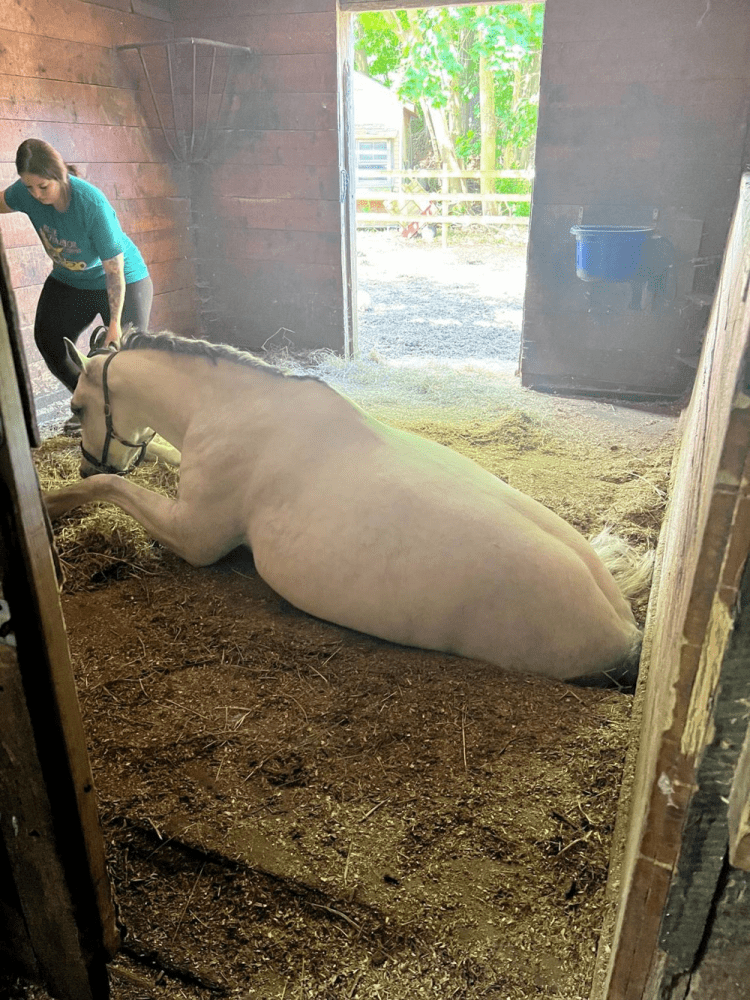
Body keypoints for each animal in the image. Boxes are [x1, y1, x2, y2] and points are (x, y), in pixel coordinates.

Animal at [44, 330, 648, 688]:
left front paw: (53, 501)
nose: (86, 466)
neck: (227, 407)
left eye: (77, 406)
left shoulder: (195, 537)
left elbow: (117, 492)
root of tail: (624, 628)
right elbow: (159, 457)